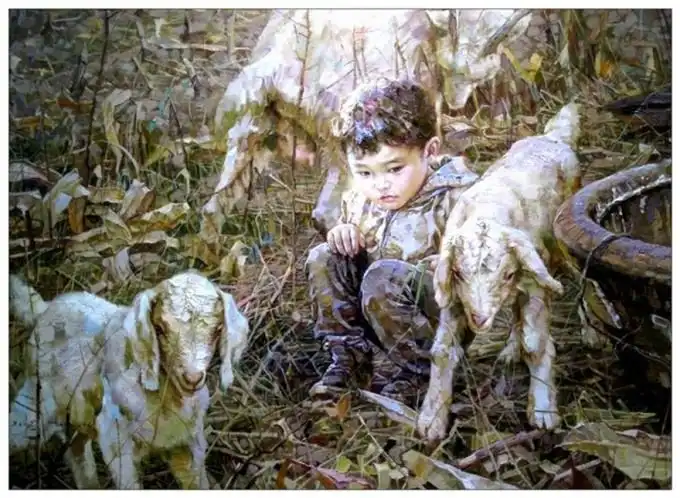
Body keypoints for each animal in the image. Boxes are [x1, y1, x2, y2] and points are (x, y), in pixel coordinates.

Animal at [9, 271, 250, 489]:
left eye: (217, 330)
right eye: (160, 328)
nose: (192, 378)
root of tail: (43, 309)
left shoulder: (189, 444)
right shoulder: (114, 438)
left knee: (77, 452)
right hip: (35, 407)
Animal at [416, 102, 582, 442]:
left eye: (505, 275)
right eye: (459, 274)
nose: (479, 320)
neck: (487, 210)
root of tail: (551, 137)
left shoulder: (534, 283)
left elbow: (536, 344)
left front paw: (543, 412)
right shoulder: (456, 298)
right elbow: (442, 351)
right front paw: (432, 420)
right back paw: (509, 349)